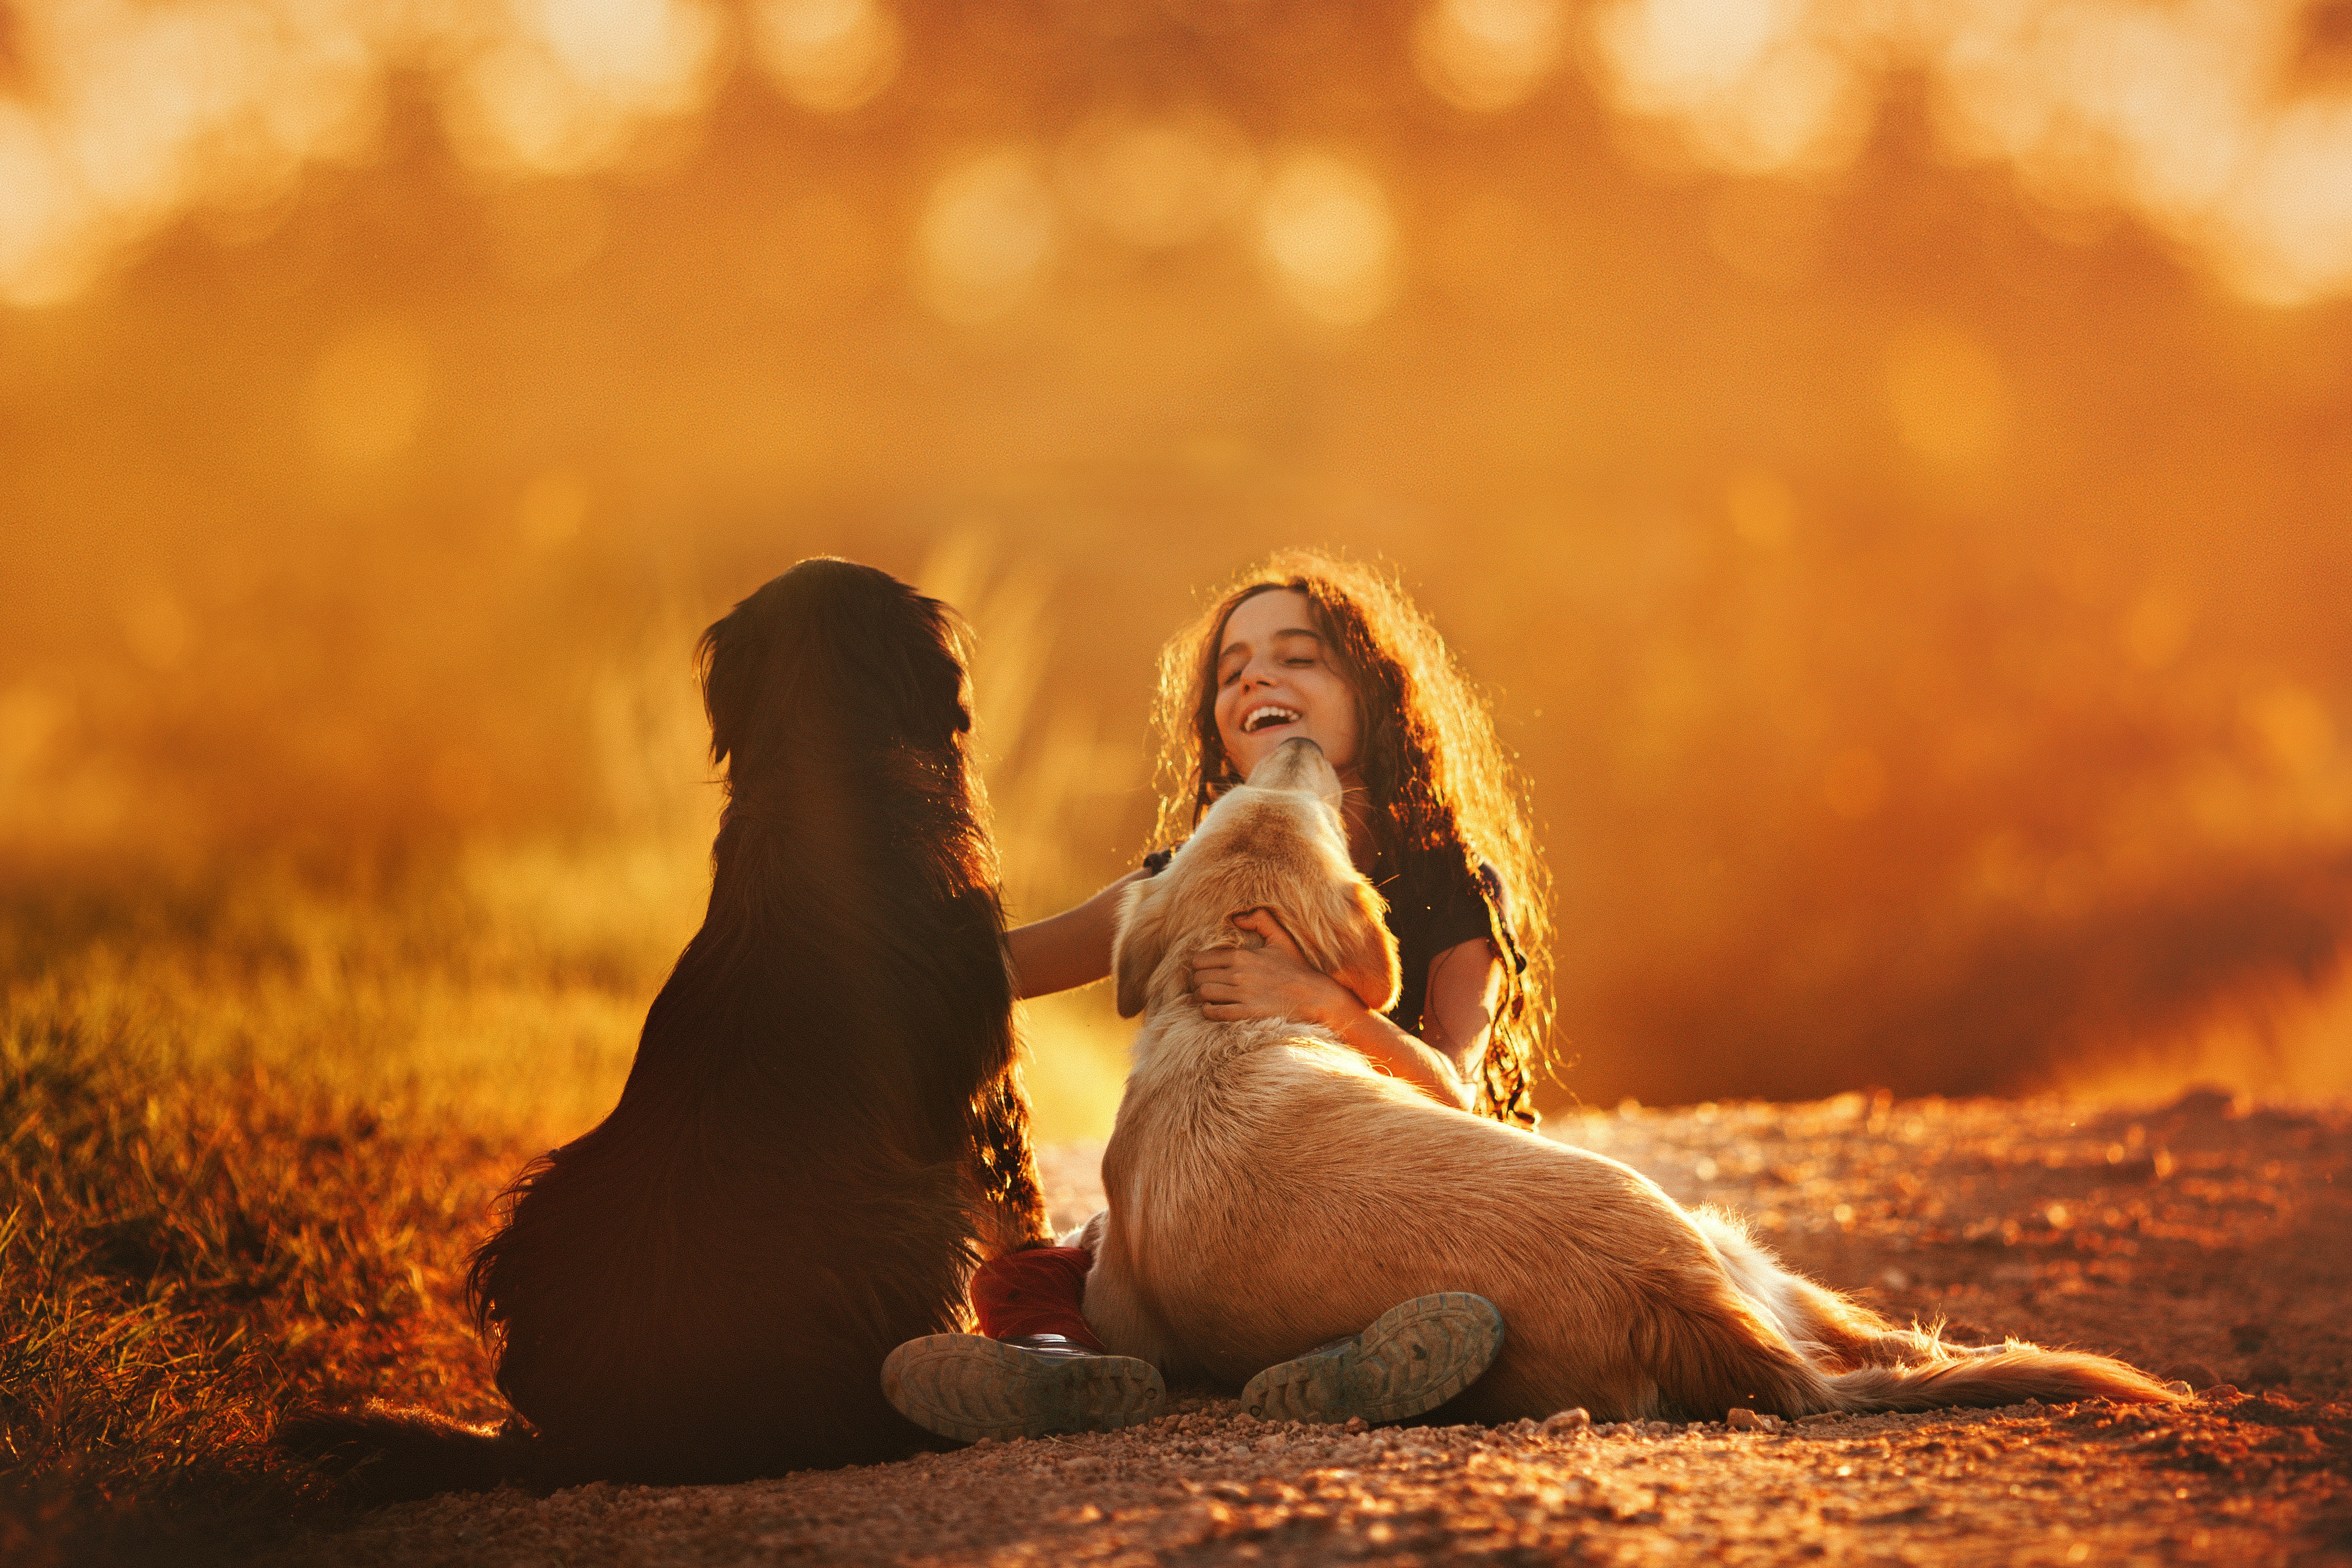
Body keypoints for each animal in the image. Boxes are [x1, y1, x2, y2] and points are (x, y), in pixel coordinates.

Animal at [284, 562, 1049, 1495]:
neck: (824, 784)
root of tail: (604, 1433)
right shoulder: (989, 1089)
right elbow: (1024, 1201)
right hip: (914, 1215)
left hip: (535, 1207)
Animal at [1077, 738, 2173, 1420]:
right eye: (1241, 802)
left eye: (1275, 802)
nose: (1300, 741)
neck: (1228, 1012)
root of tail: (1674, 1290)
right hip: (1732, 1244)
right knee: (1886, 1340)